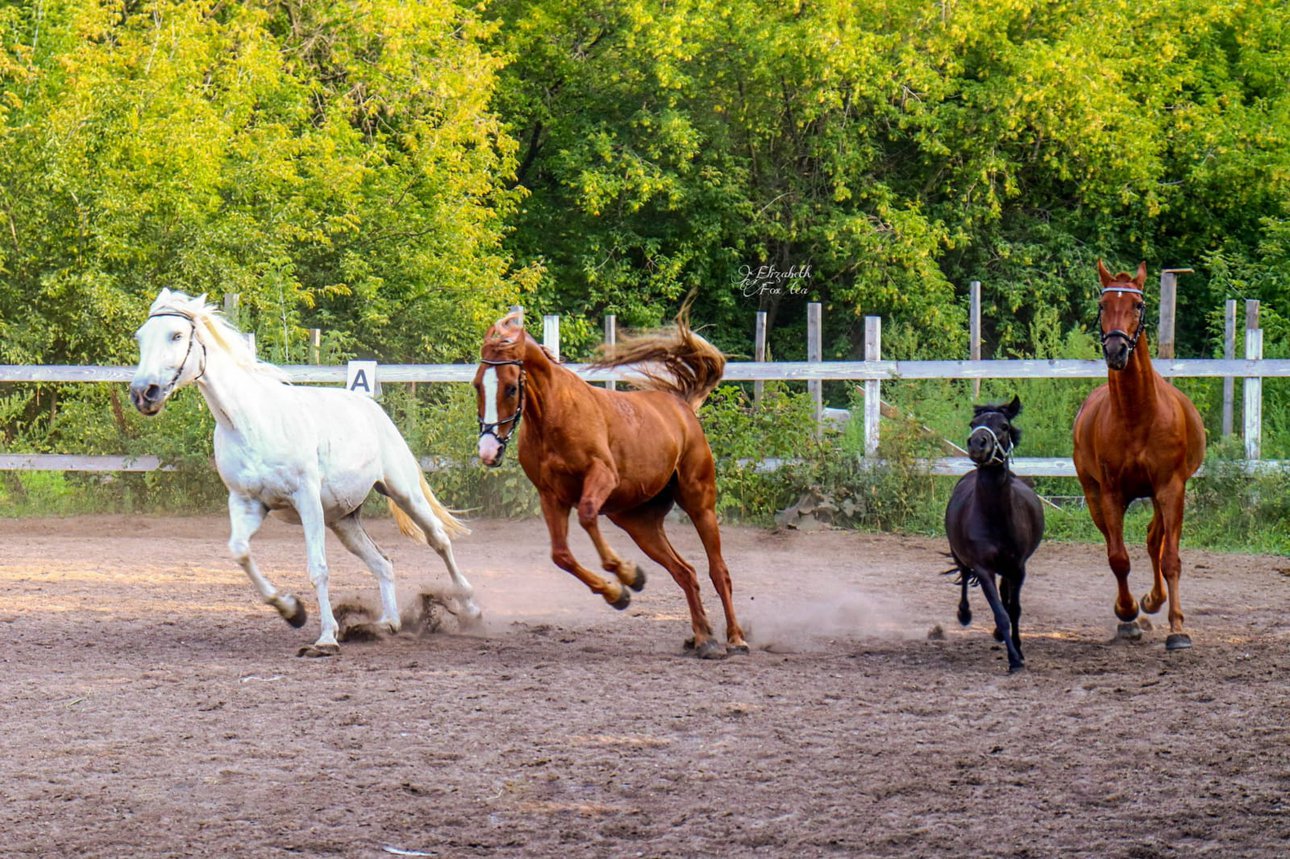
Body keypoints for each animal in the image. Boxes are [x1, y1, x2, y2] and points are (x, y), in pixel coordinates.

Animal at [128, 287, 482, 655]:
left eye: (176, 335)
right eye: (140, 337)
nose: (142, 393)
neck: (250, 421)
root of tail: (371, 409)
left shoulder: (306, 498)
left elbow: (318, 568)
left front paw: (326, 638)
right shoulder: (247, 503)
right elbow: (240, 552)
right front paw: (292, 611)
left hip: (403, 492)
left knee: (438, 540)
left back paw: (470, 609)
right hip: (343, 521)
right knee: (383, 563)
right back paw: (387, 623)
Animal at [474, 308, 753, 655]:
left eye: (511, 388)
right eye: (476, 385)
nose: (488, 451)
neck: (555, 415)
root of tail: (683, 407)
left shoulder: (602, 476)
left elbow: (587, 515)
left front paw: (625, 575)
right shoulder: (551, 497)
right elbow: (561, 555)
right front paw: (620, 590)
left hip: (700, 503)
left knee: (718, 571)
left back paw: (736, 638)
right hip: (638, 522)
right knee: (685, 572)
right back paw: (703, 638)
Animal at [949, 392, 1047, 670]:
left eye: (1003, 426)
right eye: (973, 424)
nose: (977, 444)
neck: (995, 517)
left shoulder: (1018, 567)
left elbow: (1014, 609)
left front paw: (1019, 651)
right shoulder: (983, 568)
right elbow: (1001, 613)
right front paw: (1013, 659)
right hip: (961, 556)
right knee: (964, 577)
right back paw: (964, 614)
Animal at [1073, 260, 1202, 650]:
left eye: (1138, 305)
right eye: (1103, 306)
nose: (1116, 350)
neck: (1136, 414)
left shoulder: (1171, 487)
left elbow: (1170, 558)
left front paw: (1178, 629)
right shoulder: (1111, 494)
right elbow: (1118, 558)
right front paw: (1127, 614)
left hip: (1161, 495)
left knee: (1154, 541)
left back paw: (1155, 601)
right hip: (1094, 495)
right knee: (1121, 543)